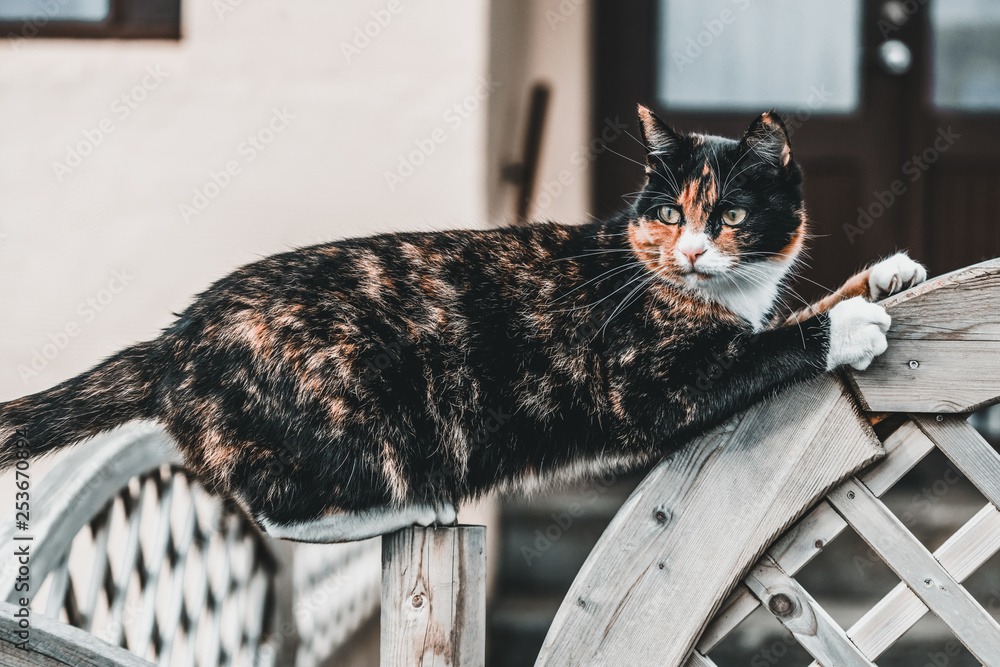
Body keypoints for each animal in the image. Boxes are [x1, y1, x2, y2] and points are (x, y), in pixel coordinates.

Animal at [0, 108, 928, 544]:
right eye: (668, 212)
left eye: (730, 213)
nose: (694, 251)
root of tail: (175, 338)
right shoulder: (651, 383)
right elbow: (769, 344)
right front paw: (849, 328)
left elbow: (794, 307)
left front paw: (885, 274)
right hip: (355, 405)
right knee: (279, 507)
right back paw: (416, 507)